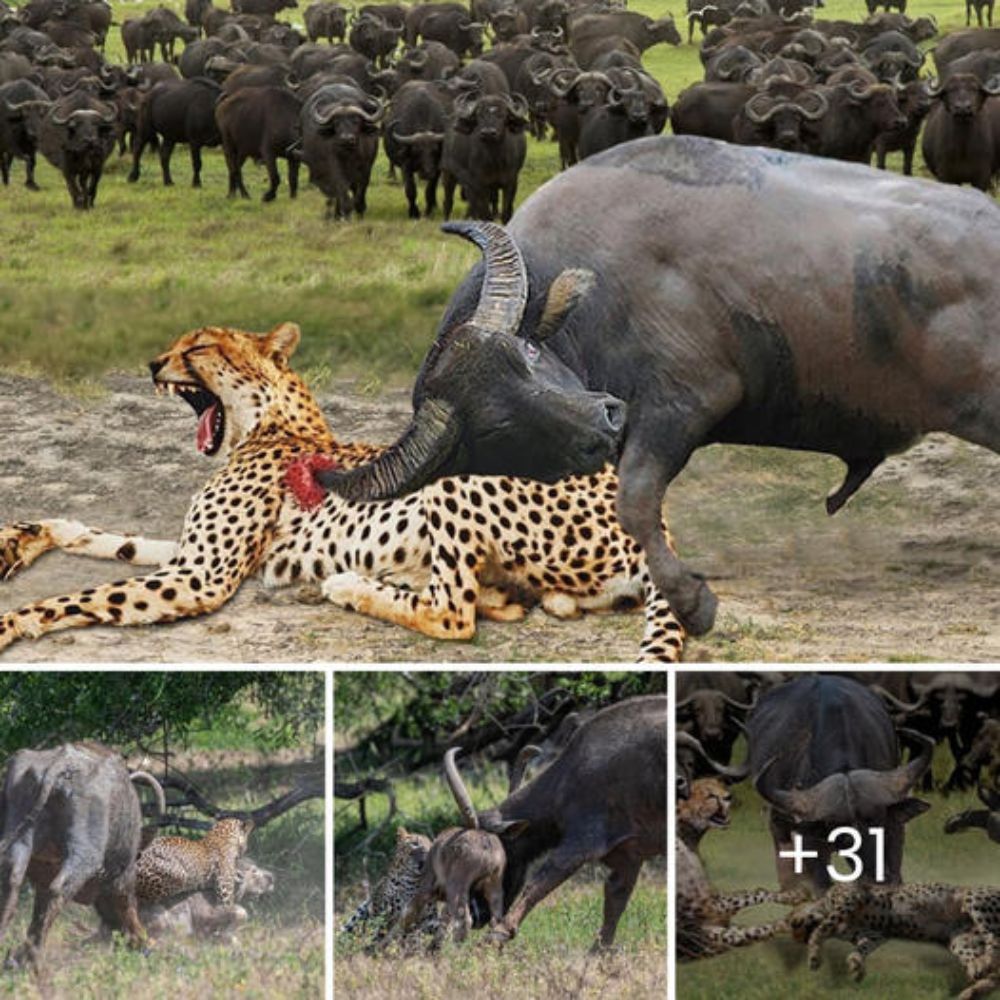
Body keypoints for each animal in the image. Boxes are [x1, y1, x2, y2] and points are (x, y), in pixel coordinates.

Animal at [0, 320, 684, 660]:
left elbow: (83, 595)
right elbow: (105, 539)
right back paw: (499, 596)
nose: (151, 364)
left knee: (452, 614)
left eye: (198, 346)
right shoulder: (194, 557)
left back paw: (350, 586)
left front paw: (11, 621)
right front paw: (24, 537)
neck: (269, 425)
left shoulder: (203, 576)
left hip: (457, 477)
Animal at [314, 135, 1000, 632]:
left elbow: (637, 501)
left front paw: (693, 603)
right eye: (500, 424)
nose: (604, 421)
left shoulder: (680, 406)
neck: (604, 292)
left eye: (528, 352)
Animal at [676, 772, 800, 960]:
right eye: (709, 795)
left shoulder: (712, 907)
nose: (729, 797)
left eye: (719, 785)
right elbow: (754, 918)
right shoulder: (704, 933)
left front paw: (792, 896)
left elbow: (753, 893)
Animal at [788, 884, 1000, 1000]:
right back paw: (974, 986)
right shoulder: (874, 935)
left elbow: (820, 930)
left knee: (994, 941)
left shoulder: (850, 897)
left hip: (974, 900)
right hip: (962, 939)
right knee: (994, 970)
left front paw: (814, 956)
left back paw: (982, 967)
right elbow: (862, 948)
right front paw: (856, 965)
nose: (798, 936)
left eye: (792, 921)